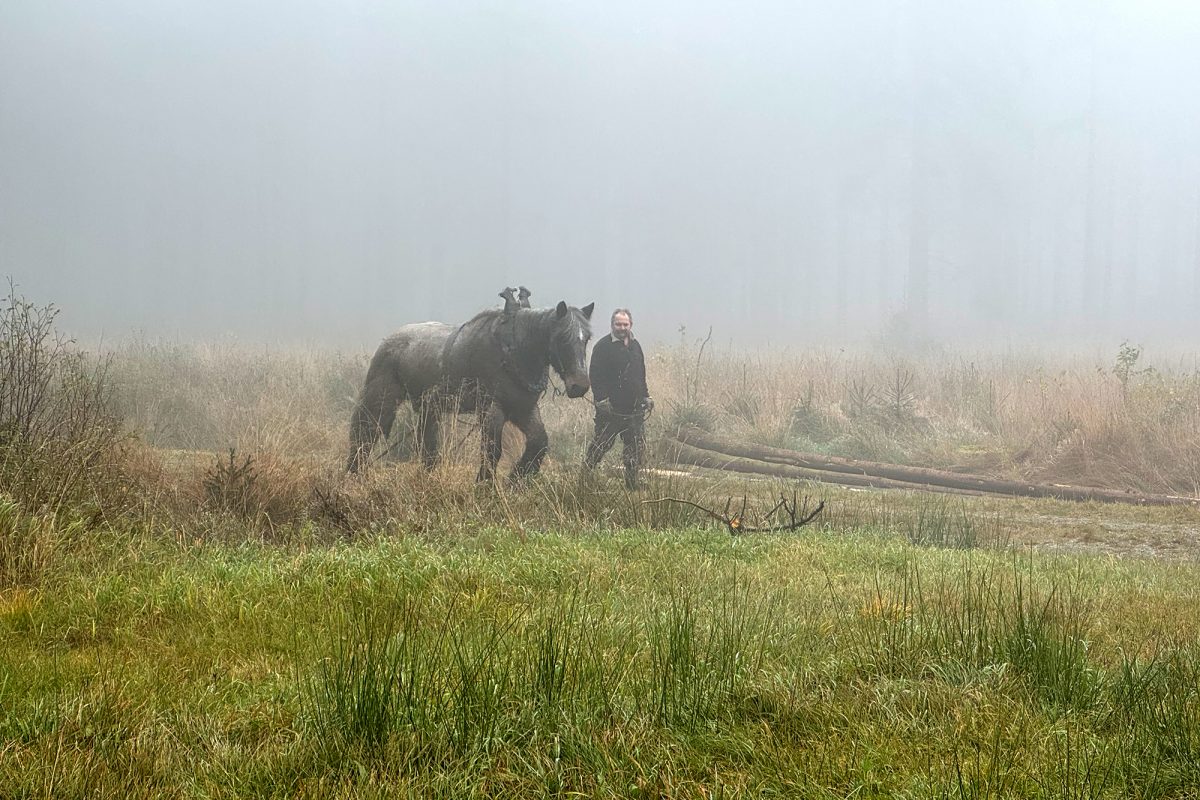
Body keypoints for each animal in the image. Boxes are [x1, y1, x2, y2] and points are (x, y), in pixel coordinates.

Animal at [348, 299, 595, 482]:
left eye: (587, 338)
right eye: (562, 337)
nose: (580, 385)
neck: (512, 352)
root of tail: (388, 340)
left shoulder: (523, 410)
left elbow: (539, 443)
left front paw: (516, 480)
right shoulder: (491, 409)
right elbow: (492, 451)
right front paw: (484, 485)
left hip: (430, 408)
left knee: (426, 442)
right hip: (381, 398)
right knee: (365, 431)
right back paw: (355, 471)